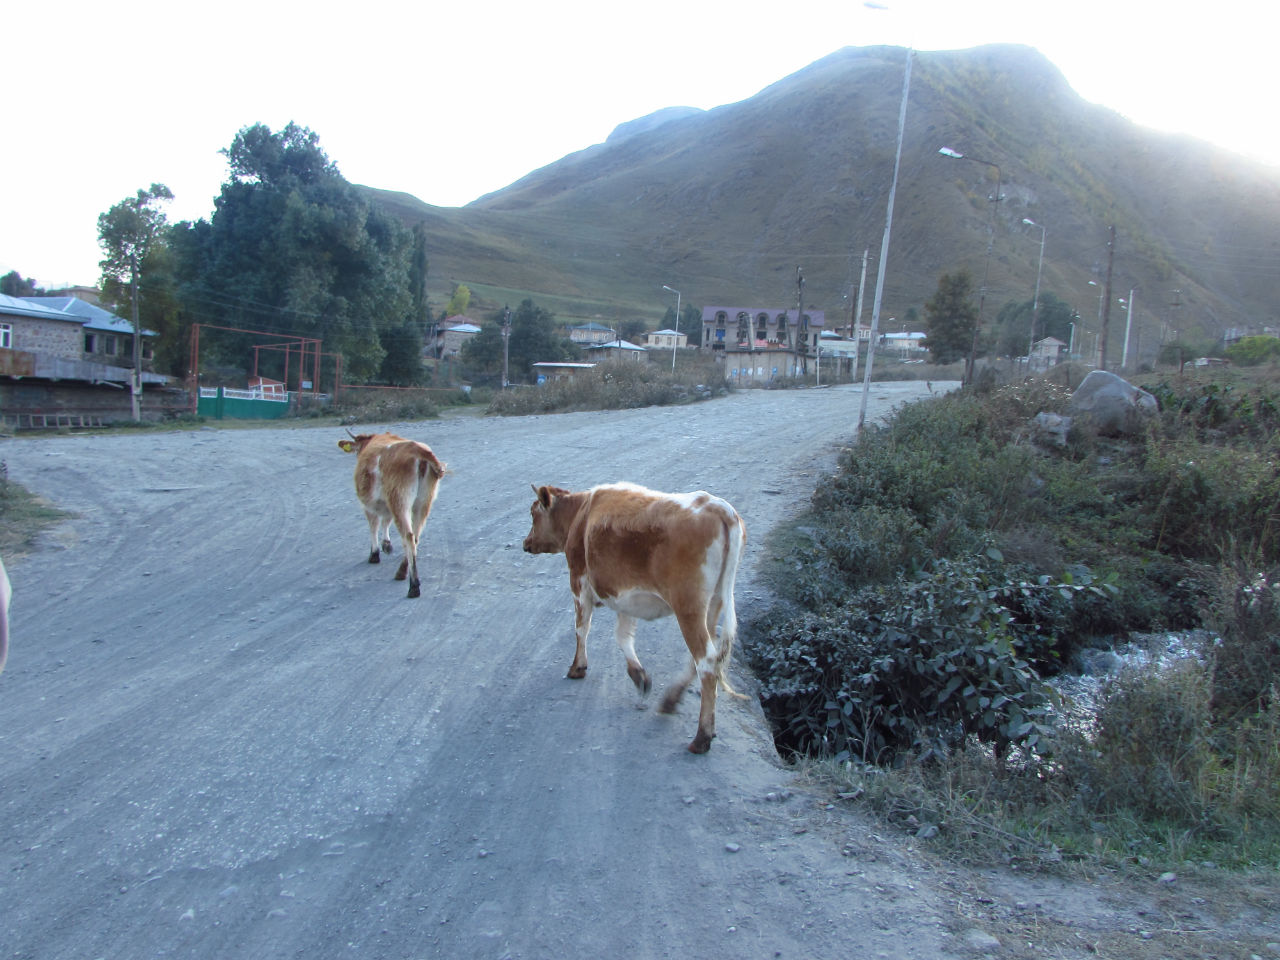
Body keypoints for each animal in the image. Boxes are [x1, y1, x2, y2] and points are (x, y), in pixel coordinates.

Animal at [337, 432, 448, 599]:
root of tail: (418, 450)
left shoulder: (368, 505)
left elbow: (374, 525)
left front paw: (374, 553)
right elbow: (386, 520)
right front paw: (386, 544)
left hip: (399, 498)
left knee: (408, 536)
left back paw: (413, 586)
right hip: (423, 501)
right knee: (415, 535)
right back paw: (402, 571)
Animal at [519, 481, 747, 752]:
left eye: (534, 513)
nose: (526, 543)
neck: (580, 513)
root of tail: (719, 507)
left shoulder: (579, 580)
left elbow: (582, 627)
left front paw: (577, 667)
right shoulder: (626, 597)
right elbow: (623, 635)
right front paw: (639, 676)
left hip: (688, 606)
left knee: (706, 661)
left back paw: (701, 737)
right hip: (714, 603)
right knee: (703, 655)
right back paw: (671, 701)